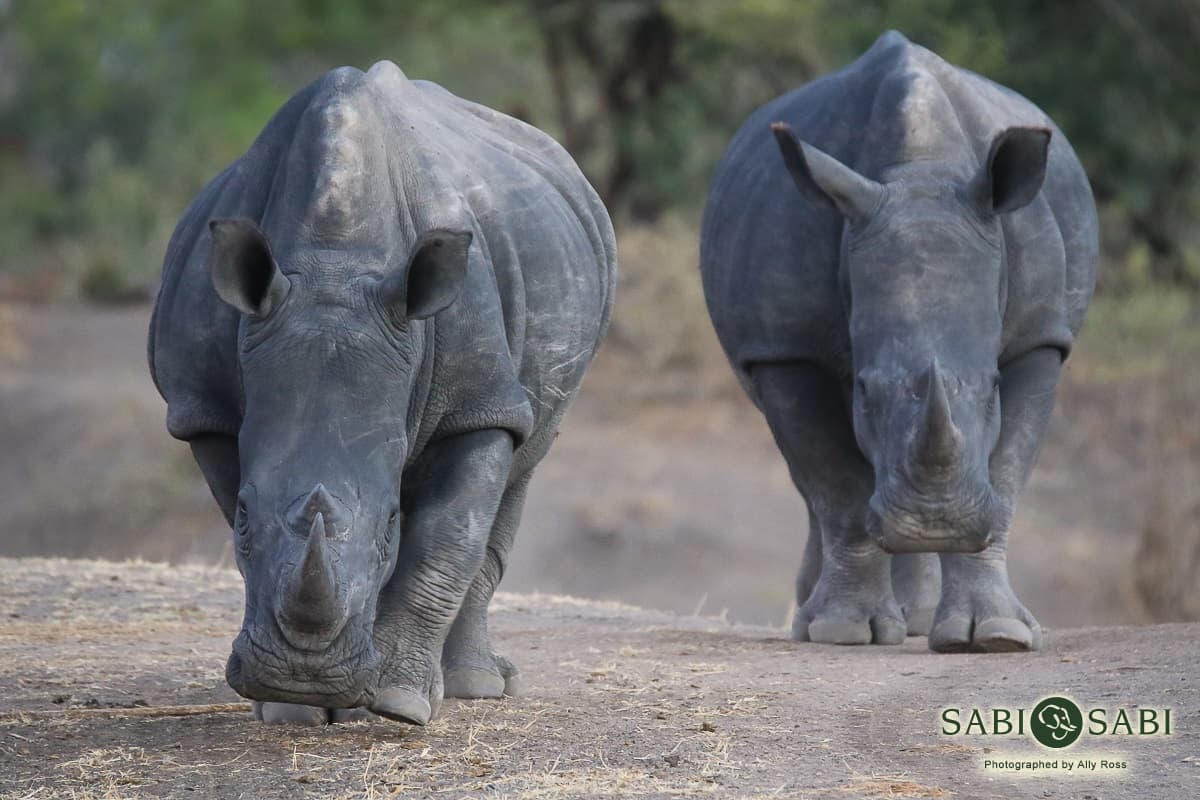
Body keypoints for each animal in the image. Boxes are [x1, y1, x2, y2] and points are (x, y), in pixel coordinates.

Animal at [148, 64, 614, 724]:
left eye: (390, 524)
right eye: (242, 516)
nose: (303, 677)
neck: (333, 262)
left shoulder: (479, 403)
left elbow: (449, 534)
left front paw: (398, 702)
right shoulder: (204, 408)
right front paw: (291, 712)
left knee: (523, 463)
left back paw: (474, 684)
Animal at [700, 32, 1099, 657]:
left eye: (992, 389)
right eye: (866, 393)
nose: (933, 522)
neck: (920, 172)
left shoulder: (1041, 338)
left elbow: (1006, 473)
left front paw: (996, 636)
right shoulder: (784, 346)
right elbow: (836, 482)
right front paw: (840, 631)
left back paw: (914, 617)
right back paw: (817, 616)